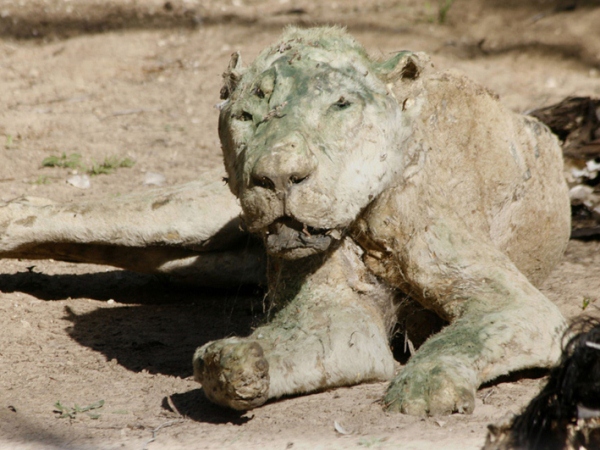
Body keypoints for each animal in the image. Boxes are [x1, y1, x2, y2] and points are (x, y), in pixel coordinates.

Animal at [0, 27, 572, 414]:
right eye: (247, 116)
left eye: (340, 105)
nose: (277, 177)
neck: (360, 220)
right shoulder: (331, 312)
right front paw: (235, 363)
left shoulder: (515, 302)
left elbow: (465, 337)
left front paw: (424, 387)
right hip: (188, 213)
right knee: (71, 218)